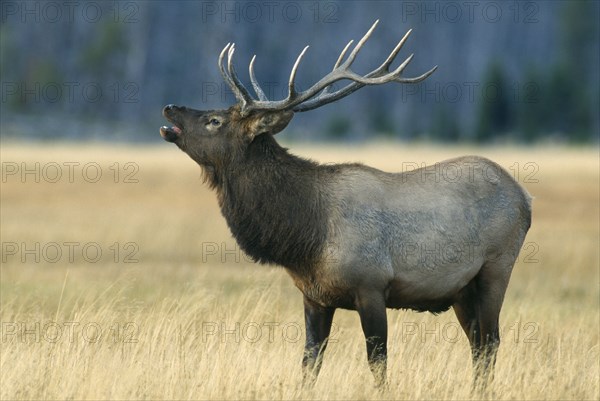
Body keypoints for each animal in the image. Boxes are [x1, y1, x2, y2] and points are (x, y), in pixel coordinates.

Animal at [159, 21, 528, 388]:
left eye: (215, 120)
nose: (170, 107)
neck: (306, 238)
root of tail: (525, 197)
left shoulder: (372, 285)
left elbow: (378, 362)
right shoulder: (314, 296)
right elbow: (310, 363)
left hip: (496, 268)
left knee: (491, 341)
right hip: (461, 291)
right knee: (478, 345)